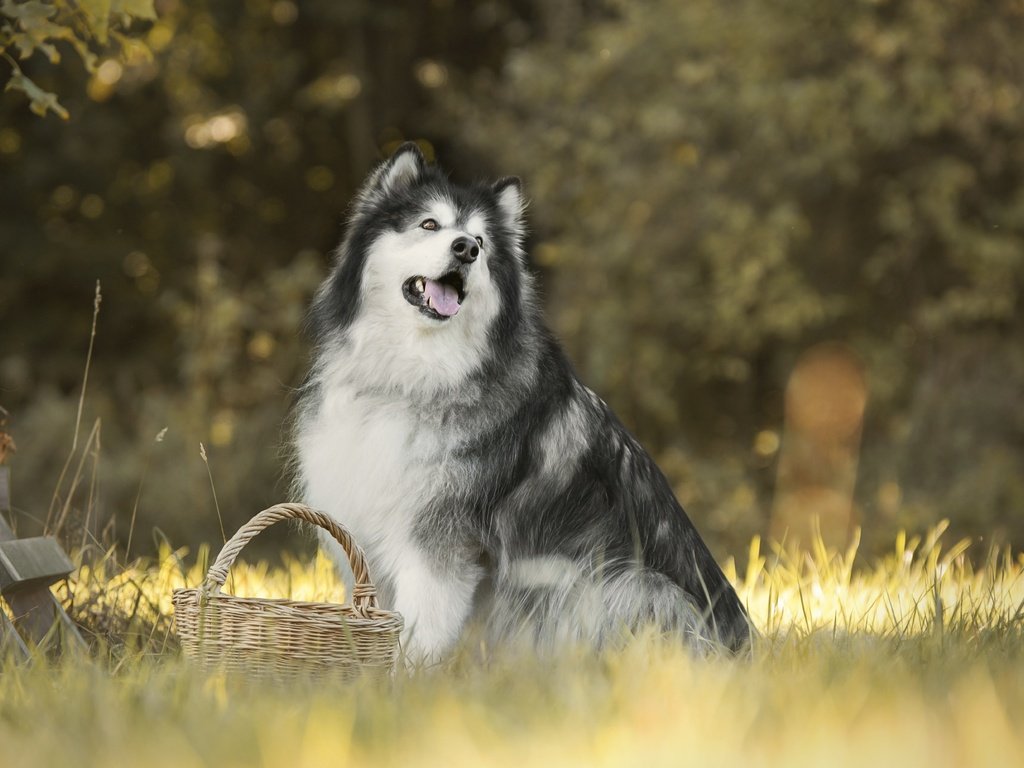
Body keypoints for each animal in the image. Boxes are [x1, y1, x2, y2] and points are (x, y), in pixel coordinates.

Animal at [296, 144, 753, 663]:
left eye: (479, 240)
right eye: (430, 224)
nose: (466, 250)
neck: (419, 373)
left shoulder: (438, 548)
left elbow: (417, 634)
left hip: (622, 584)